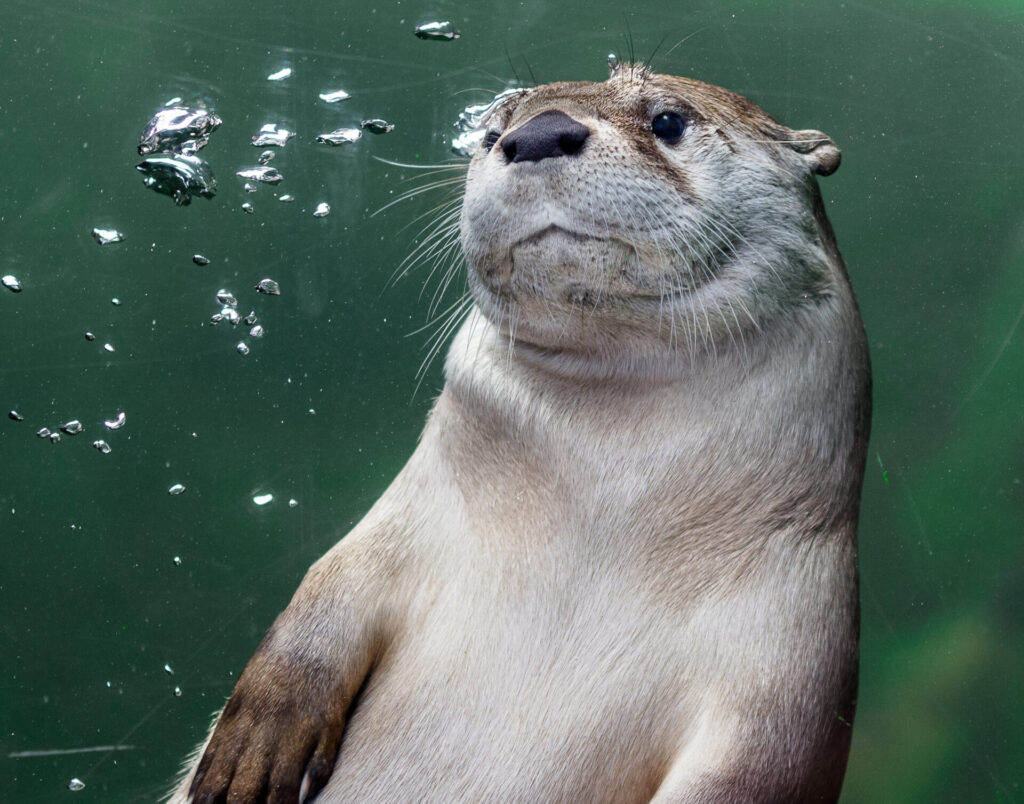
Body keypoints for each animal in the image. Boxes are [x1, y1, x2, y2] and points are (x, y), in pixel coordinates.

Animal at [169, 64, 872, 802]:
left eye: (668, 120)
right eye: (489, 132)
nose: (536, 134)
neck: (597, 522)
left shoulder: (790, 671)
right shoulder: (408, 517)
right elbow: (323, 593)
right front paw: (247, 757)